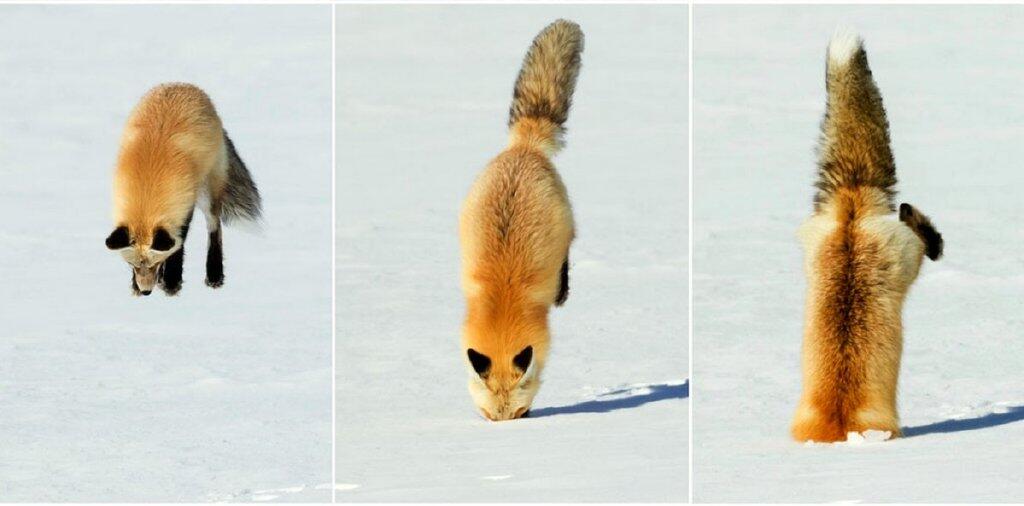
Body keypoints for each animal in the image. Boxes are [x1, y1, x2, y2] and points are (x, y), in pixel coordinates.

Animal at [103, 82, 262, 297]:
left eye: (155, 264)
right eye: (133, 265)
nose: (146, 292)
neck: (148, 186)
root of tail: (184, 85)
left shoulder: (184, 204)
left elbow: (178, 246)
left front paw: (172, 282)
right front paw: (137, 286)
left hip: (206, 193)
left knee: (215, 227)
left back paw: (214, 274)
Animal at [458, 19, 585, 422]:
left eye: (519, 412)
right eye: (489, 416)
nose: (507, 430)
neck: (503, 298)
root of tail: (525, 145)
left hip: (567, 228)